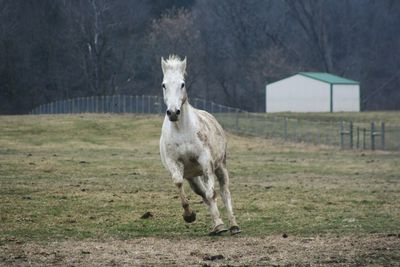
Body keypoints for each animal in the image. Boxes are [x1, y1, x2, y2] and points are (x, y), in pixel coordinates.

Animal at [159, 55, 241, 237]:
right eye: (164, 84)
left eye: (182, 84)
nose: (173, 112)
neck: (182, 130)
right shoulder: (174, 163)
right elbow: (178, 183)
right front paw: (189, 215)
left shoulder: (205, 163)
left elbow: (213, 193)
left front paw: (222, 225)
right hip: (193, 178)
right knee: (203, 194)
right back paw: (217, 225)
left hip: (220, 167)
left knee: (225, 193)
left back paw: (233, 226)